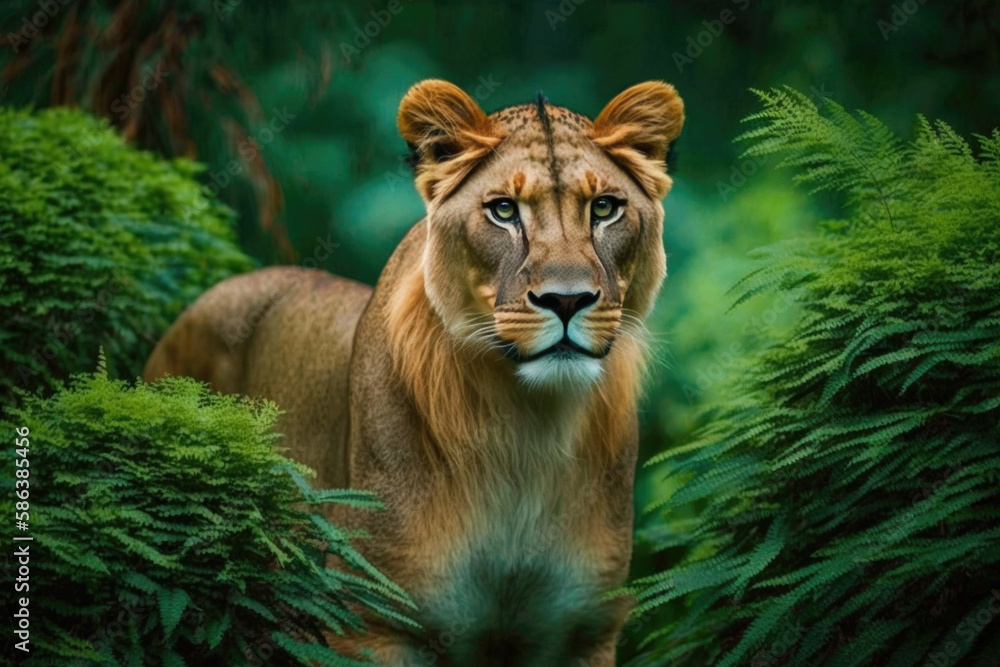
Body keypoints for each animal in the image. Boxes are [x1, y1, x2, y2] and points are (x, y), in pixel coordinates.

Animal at [143, 79, 684, 665]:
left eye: (604, 208)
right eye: (503, 210)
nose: (567, 300)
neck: (529, 432)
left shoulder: (580, 632)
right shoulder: (372, 623)